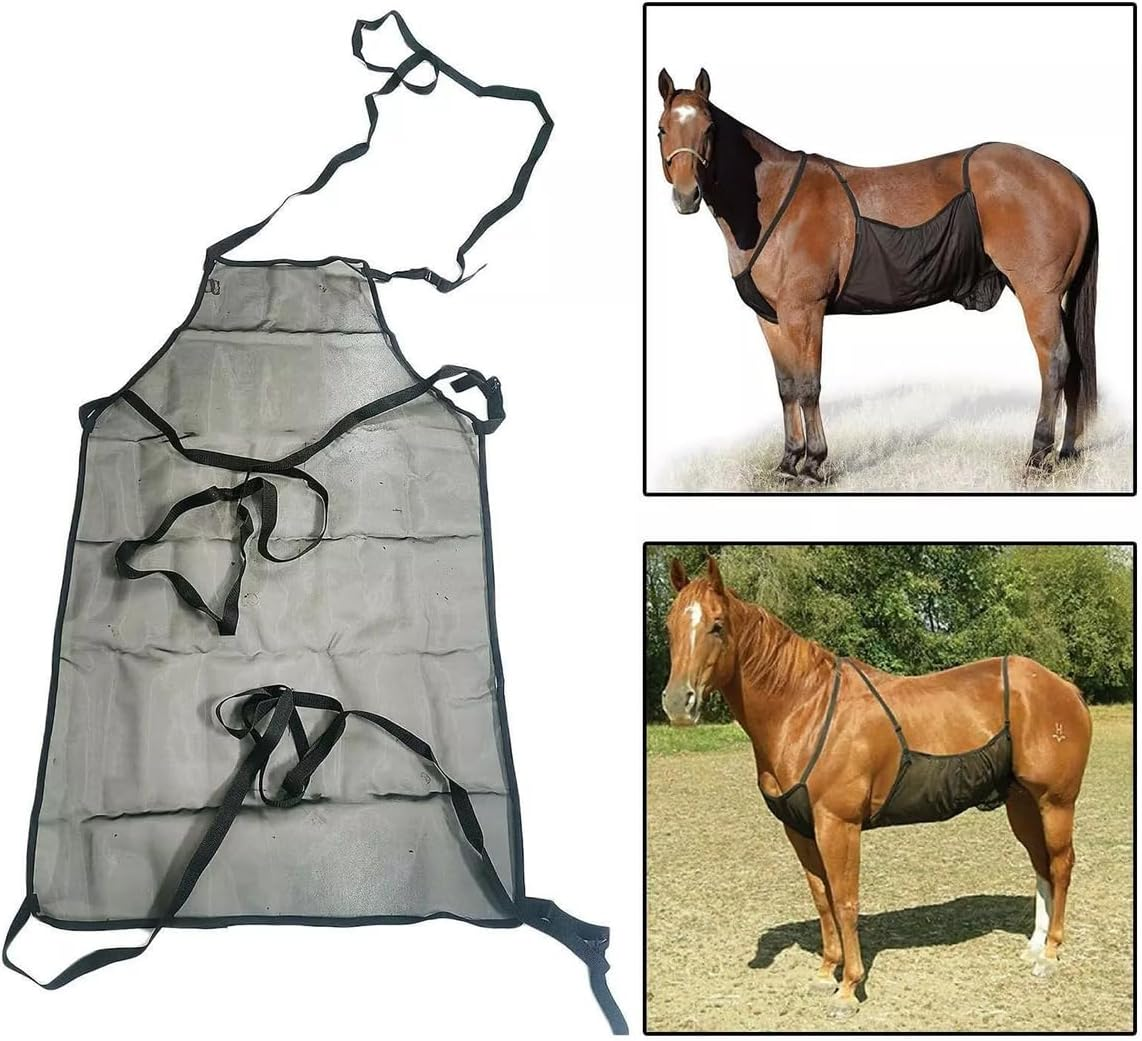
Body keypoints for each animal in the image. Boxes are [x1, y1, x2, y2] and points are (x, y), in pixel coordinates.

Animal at [655, 69, 1099, 483]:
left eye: (709, 129)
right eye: (661, 128)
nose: (686, 196)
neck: (773, 201)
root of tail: (1067, 177)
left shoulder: (805, 312)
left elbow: (808, 385)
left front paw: (813, 465)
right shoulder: (771, 317)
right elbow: (786, 387)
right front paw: (787, 462)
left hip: (1038, 296)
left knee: (1055, 361)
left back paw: (1038, 456)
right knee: (1074, 362)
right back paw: (1067, 452)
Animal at [660, 557, 1091, 1018]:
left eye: (717, 625)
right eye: (669, 625)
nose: (678, 703)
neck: (805, 709)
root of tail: (1065, 688)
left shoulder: (838, 825)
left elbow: (845, 901)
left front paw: (849, 987)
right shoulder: (799, 829)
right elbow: (822, 897)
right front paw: (825, 972)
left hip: (1055, 802)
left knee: (1061, 866)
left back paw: (1051, 954)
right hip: (1023, 804)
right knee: (1041, 865)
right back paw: (1035, 947)